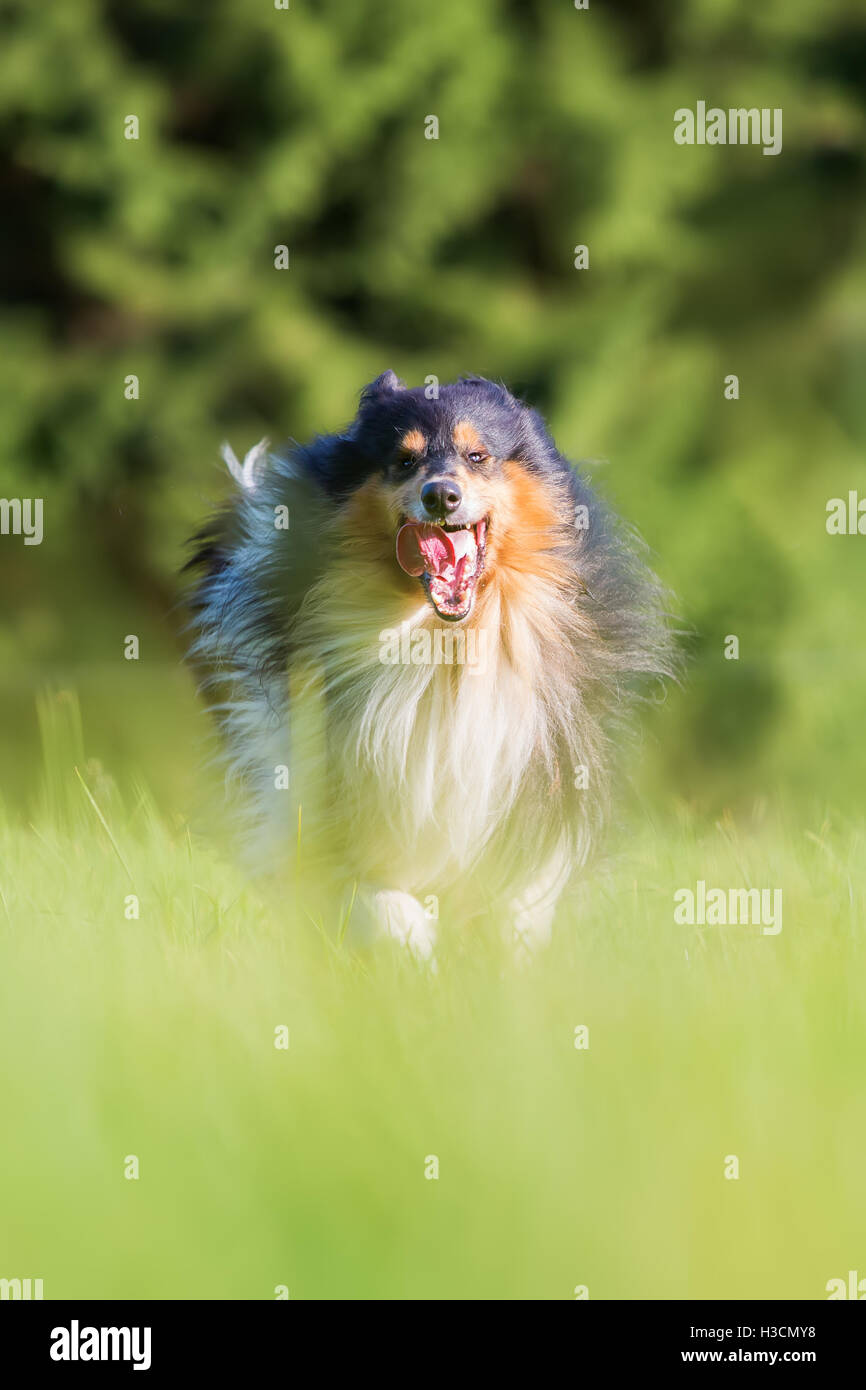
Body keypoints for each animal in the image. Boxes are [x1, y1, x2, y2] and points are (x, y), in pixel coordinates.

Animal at [184, 369, 678, 956]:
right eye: (403, 460)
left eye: (478, 455)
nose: (440, 495)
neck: (448, 643)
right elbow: (377, 895)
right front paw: (413, 947)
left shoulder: (539, 758)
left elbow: (525, 895)